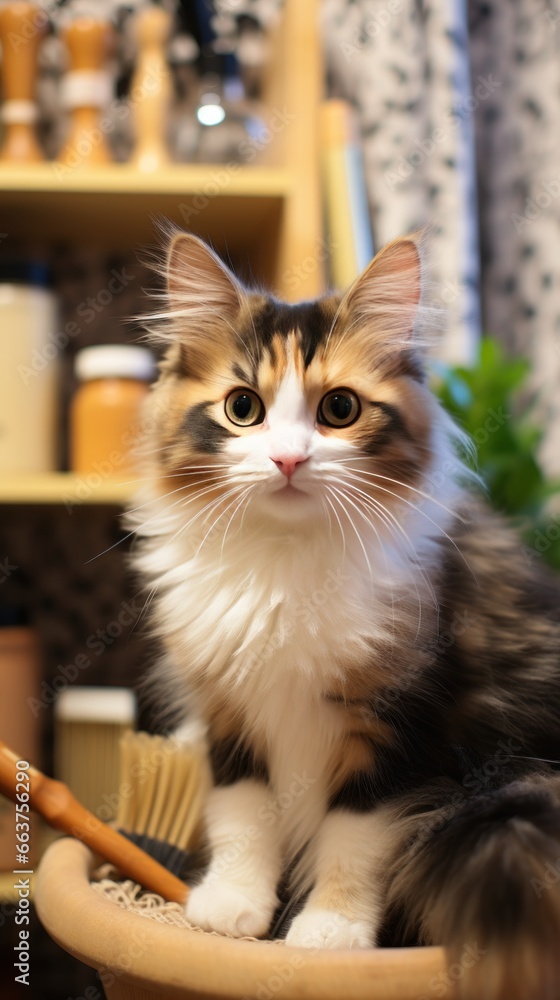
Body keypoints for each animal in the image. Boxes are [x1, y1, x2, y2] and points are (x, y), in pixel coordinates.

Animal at [128, 230, 560, 996]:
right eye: (243, 408)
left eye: (338, 410)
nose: (288, 460)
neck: (285, 563)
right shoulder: (229, 711)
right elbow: (244, 815)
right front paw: (232, 907)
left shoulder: (400, 724)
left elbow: (352, 839)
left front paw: (330, 935)